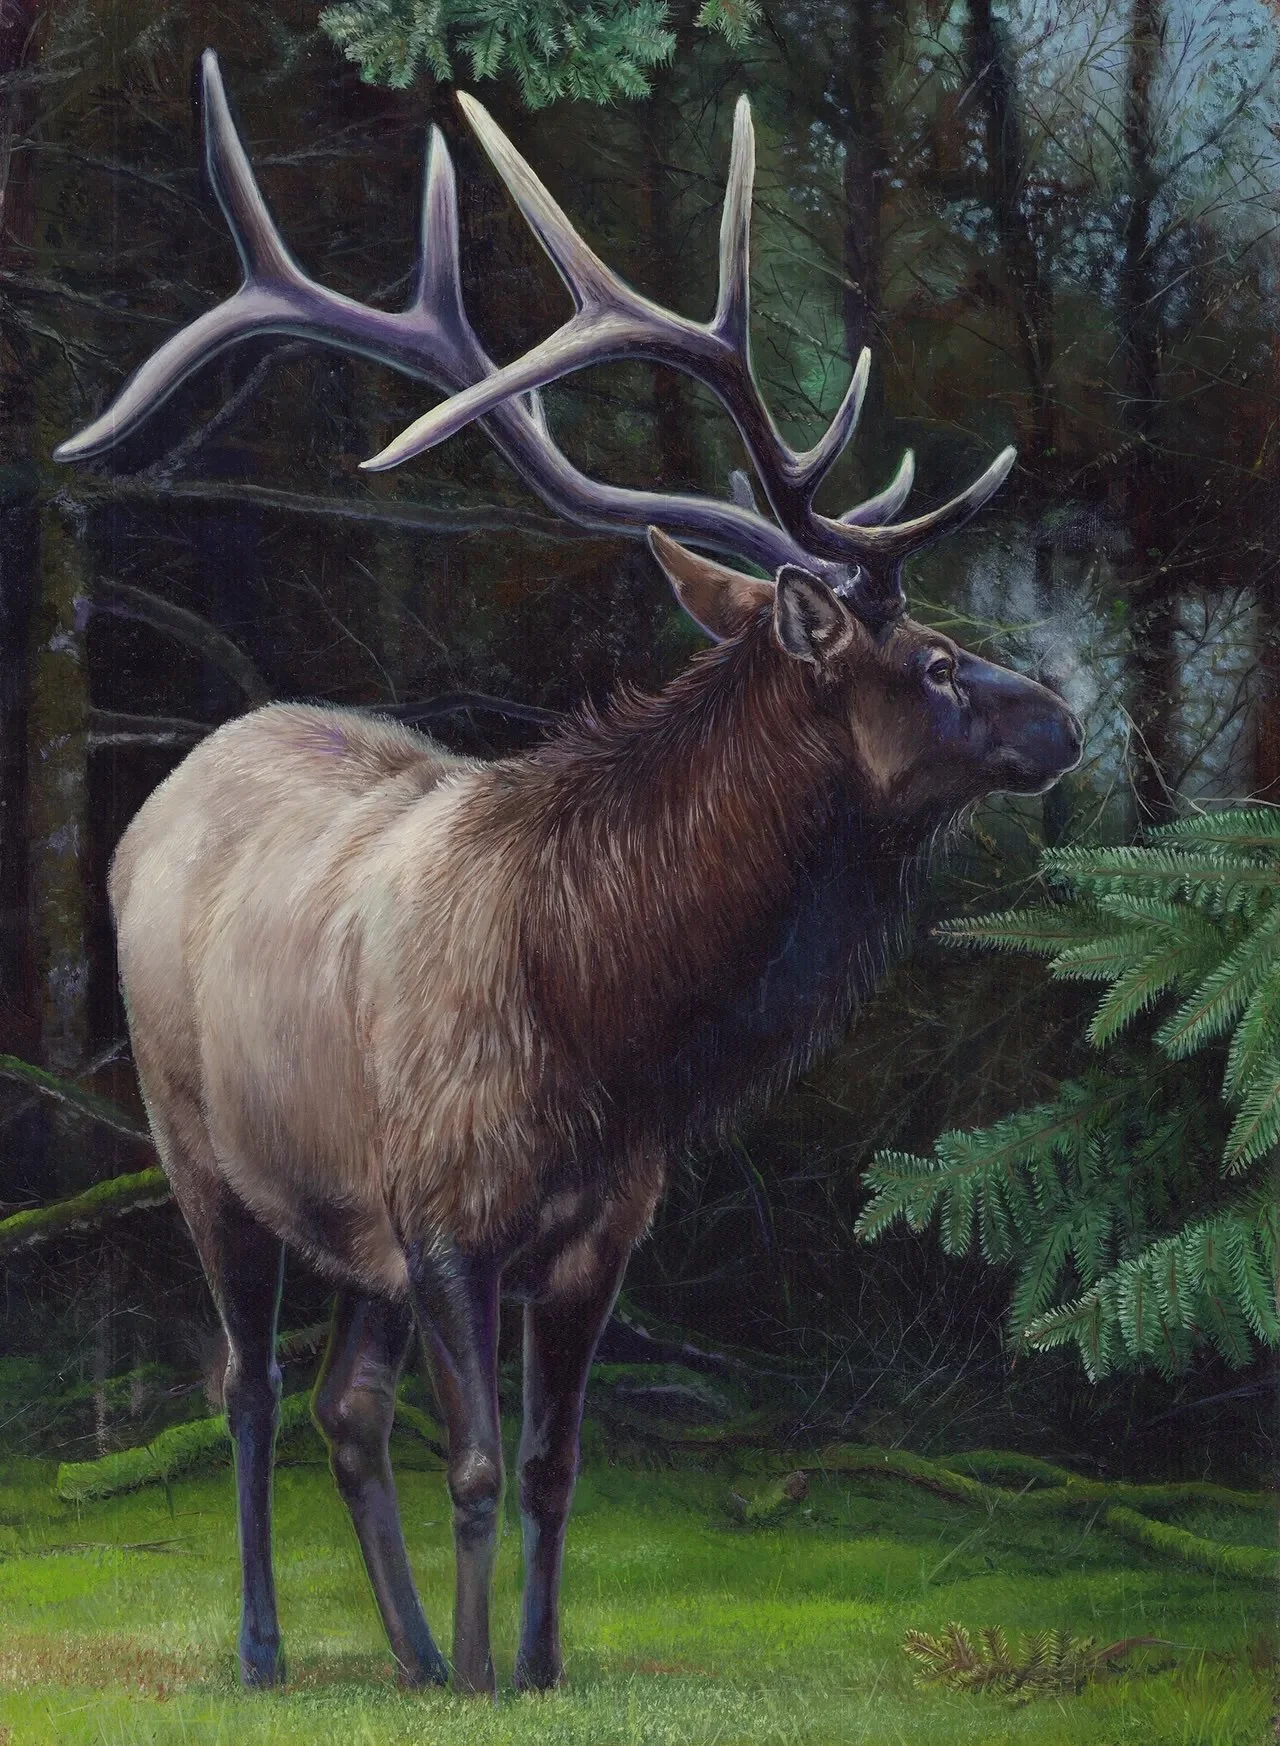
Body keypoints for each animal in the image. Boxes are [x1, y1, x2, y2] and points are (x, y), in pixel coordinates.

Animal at [55, 54, 1083, 1699]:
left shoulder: (596, 1236)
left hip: (349, 1223)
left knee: (345, 1407)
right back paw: (272, 1646)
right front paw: (489, 1680)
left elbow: (551, 1470)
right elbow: (473, 1466)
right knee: (252, 1387)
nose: (1063, 720)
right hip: (196, 1148)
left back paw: (409, 1656)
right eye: (930, 661)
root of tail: (174, 780)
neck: (610, 1020)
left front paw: (525, 1670)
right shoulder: (445, 1219)